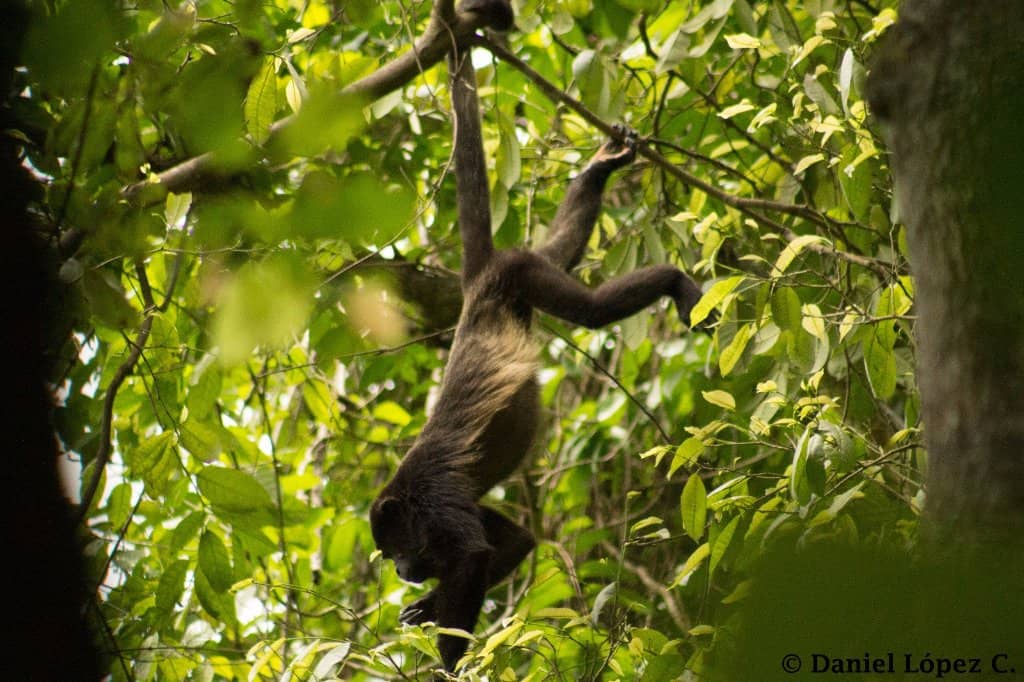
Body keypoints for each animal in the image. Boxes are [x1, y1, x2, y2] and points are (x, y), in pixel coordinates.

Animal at [369, 17, 709, 675]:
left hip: (523, 274)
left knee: (592, 311)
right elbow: (517, 542)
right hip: (528, 271)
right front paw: (426, 609)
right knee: (565, 245)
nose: (400, 571)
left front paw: (450, 662)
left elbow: (473, 557)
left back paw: (675, 282)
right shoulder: (459, 504)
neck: (409, 500)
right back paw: (600, 171)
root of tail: (479, 284)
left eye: (396, 548)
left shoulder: (438, 503)